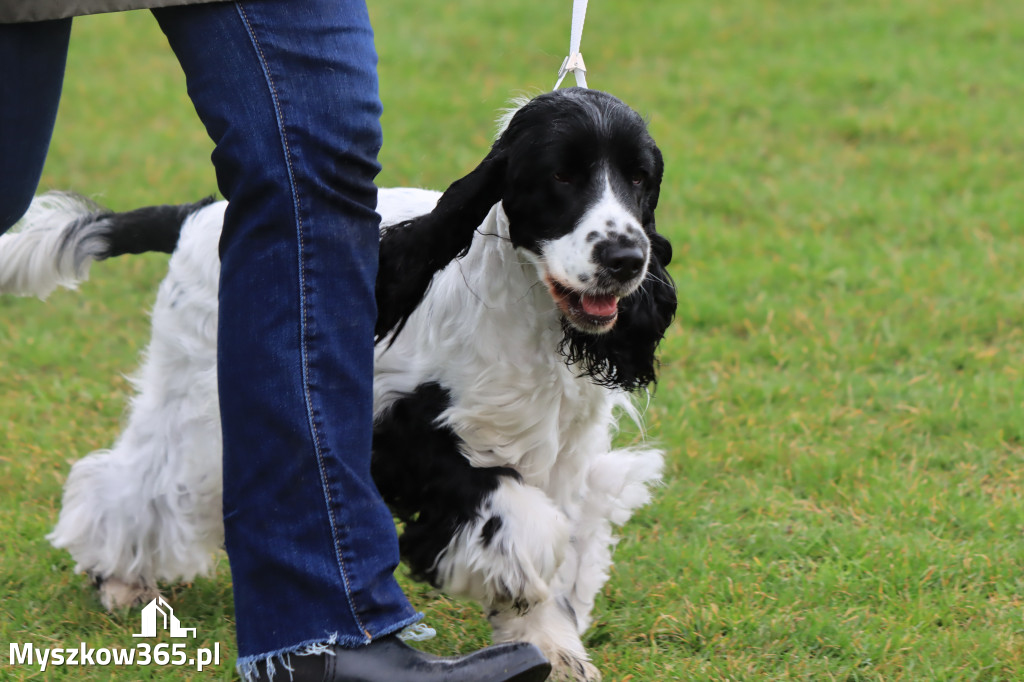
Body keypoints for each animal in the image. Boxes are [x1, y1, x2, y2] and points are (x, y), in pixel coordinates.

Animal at [2, 90, 679, 679]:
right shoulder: (399, 430)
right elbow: (517, 517)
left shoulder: (563, 454)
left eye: (639, 178)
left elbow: (556, 550)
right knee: (142, 481)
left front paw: (553, 651)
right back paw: (121, 579)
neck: (531, 311)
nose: (626, 259)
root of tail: (199, 215)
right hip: (196, 402)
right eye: (561, 176)